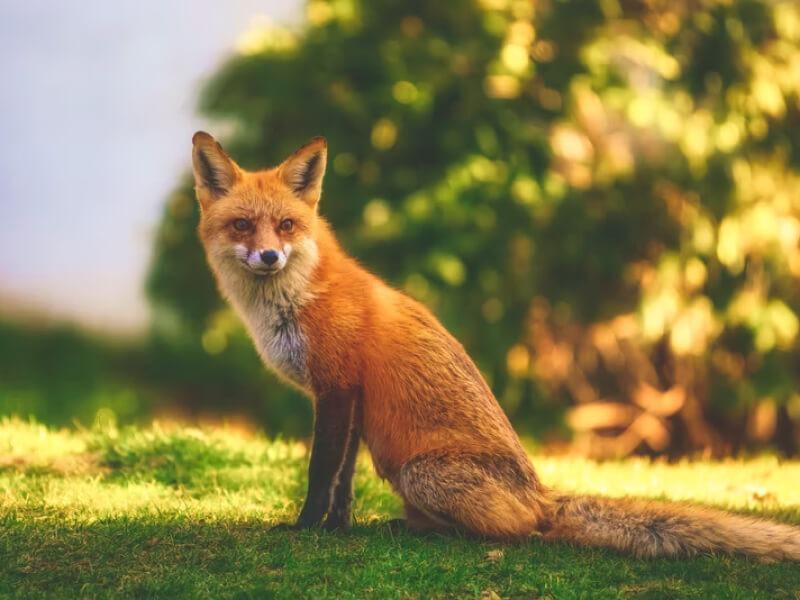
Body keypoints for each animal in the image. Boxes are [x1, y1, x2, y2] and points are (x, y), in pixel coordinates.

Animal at [191, 131, 800, 560]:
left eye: (287, 226)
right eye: (243, 225)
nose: (269, 257)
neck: (297, 299)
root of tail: (542, 494)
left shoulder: (336, 388)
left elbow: (321, 475)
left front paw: (304, 530)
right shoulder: (354, 396)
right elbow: (344, 482)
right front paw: (339, 529)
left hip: (419, 473)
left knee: (521, 533)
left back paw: (434, 534)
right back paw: (405, 526)